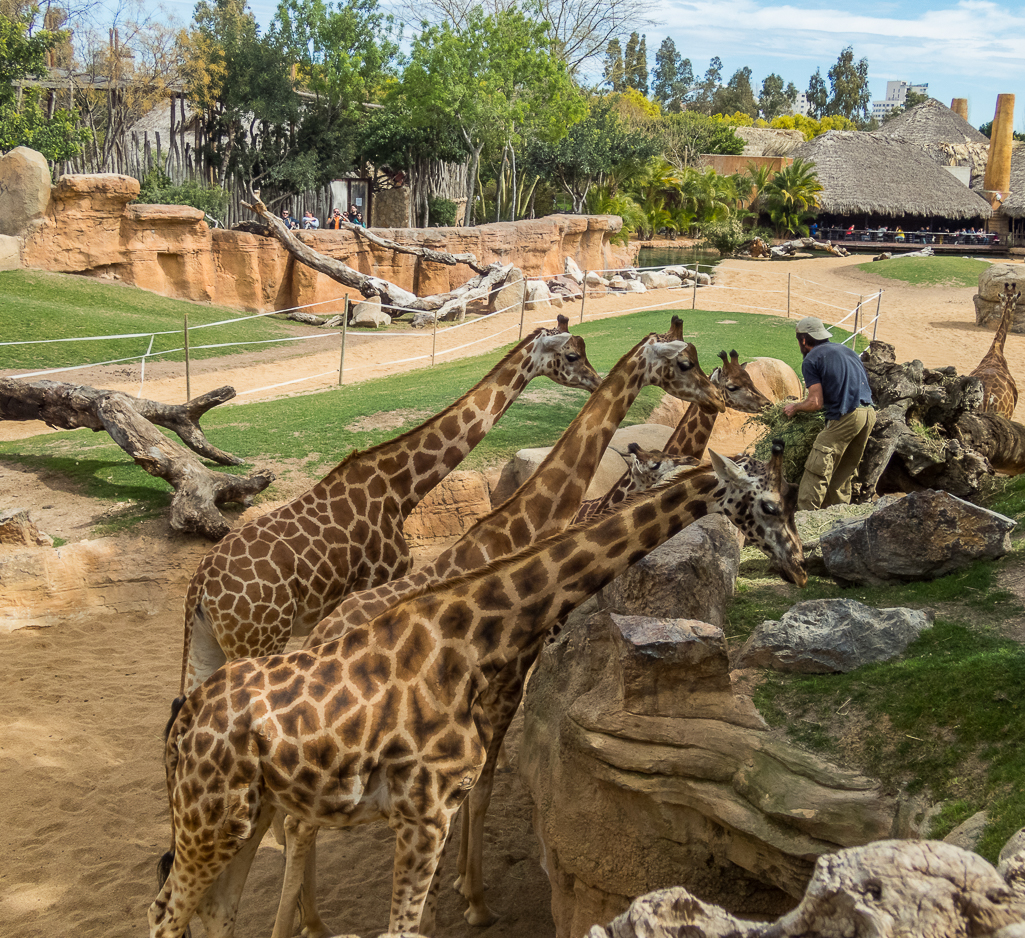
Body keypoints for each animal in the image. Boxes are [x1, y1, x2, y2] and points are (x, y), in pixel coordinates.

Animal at [151, 444, 803, 938]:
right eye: (771, 503)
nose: (798, 562)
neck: (468, 637)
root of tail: (180, 726)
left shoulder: (434, 809)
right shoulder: (426, 810)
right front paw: (477, 904)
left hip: (246, 815)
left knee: (216, 911)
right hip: (211, 821)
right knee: (166, 911)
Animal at [176, 315, 598, 697]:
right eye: (573, 355)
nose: (596, 380)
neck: (401, 489)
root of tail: (198, 588)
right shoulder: (380, 581)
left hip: (208, 644)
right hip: (257, 638)